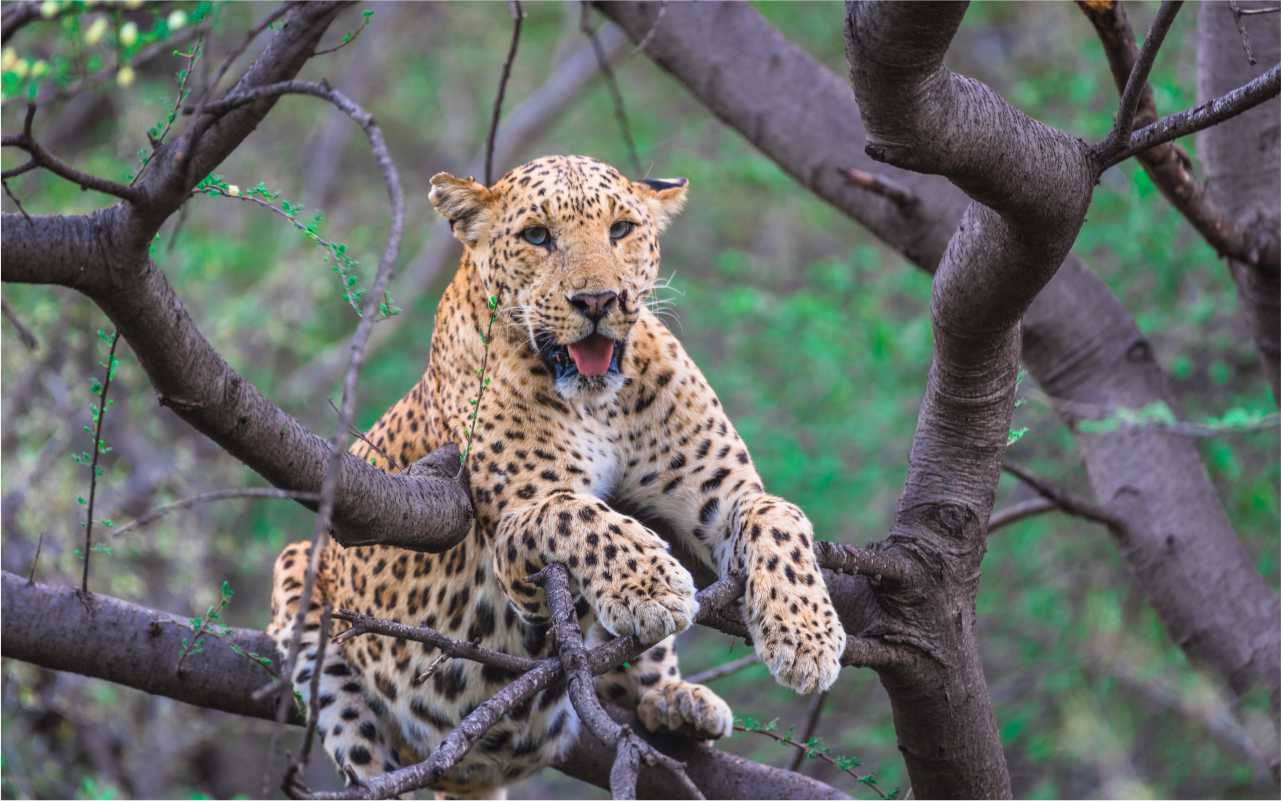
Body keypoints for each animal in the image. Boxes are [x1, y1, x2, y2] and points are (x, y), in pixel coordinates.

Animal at [267, 154, 846, 799]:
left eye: (621, 230)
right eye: (537, 237)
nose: (597, 300)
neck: (602, 405)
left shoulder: (724, 496)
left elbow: (780, 515)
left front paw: (806, 638)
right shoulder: (517, 539)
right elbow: (580, 513)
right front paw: (653, 585)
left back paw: (677, 703)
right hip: (304, 574)